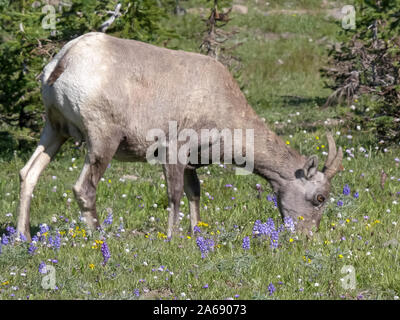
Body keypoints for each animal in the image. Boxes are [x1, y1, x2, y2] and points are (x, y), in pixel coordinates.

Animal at [17, 33, 342, 242]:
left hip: (54, 130)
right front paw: (172, 237)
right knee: (84, 188)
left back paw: (23, 236)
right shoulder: (172, 152)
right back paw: (98, 237)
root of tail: (63, 61)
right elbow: (174, 195)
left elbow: (193, 193)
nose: (306, 236)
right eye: (320, 197)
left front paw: (196, 233)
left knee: (28, 173)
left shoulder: (189, 163)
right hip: (102, 140)